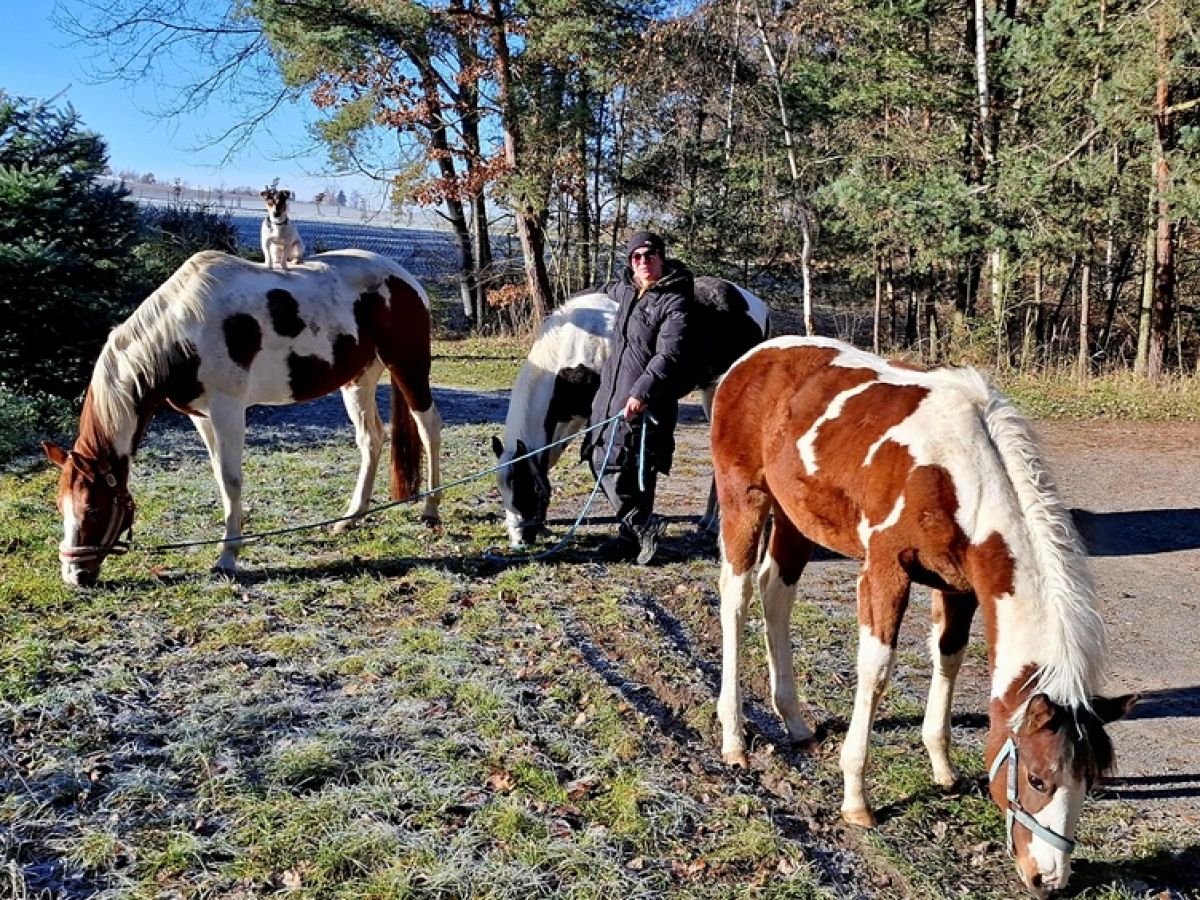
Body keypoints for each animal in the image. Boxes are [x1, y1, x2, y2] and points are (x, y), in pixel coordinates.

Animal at [44, 249, 443, 586]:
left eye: (92, 508)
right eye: (61, 505)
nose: (75, 576)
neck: (183, 332)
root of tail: (405, 279)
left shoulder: (228, 409)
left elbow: (232, 479)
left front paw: (227, 557)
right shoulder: (201, 416)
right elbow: (221, 479)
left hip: (408, 367)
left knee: (429, 428)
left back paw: (430, 510)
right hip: (358, 380)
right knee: (371, 439)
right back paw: (351, 517)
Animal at [491, 276, 770, 548]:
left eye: (523, 488)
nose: (519, 541)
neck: (574, 348)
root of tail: (757, 305)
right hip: (710, 390)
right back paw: (708, 522)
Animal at [710, 336, 1133, 897]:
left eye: (1091, 782)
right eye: (1038, 779)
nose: (1048, 877)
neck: (959, 476)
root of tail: (752, 357)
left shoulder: (960, 587)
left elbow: (948, 659)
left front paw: (942, 765)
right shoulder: (885, 568)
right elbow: (876, 670)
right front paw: (856, 798)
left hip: (796, 518)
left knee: (776, 594)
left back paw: (795, 721)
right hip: (745, 500)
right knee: (736, 600)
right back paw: (734, 738)